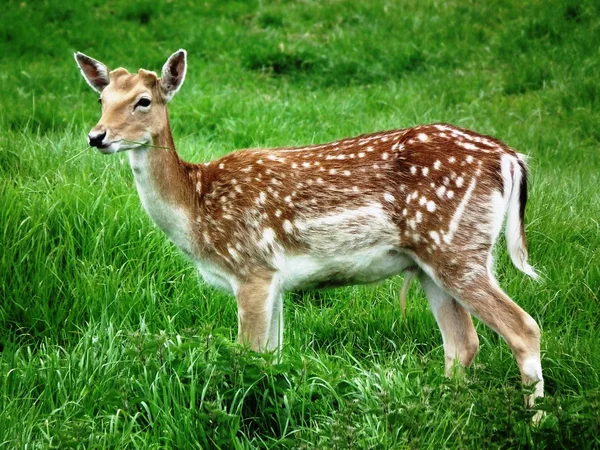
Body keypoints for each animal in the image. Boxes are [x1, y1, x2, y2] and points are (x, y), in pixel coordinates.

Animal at [74, 50, 544, 414]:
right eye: (101, 97)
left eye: (143, 101)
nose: (97, 136)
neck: (197, 209)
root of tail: (510, 158)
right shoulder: (276, 282)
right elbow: (271, 358)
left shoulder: (252, 269)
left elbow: (246, 355)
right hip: (433, 262)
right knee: (462, 344)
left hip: (455, 247)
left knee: (523, 328)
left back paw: (534, 420)